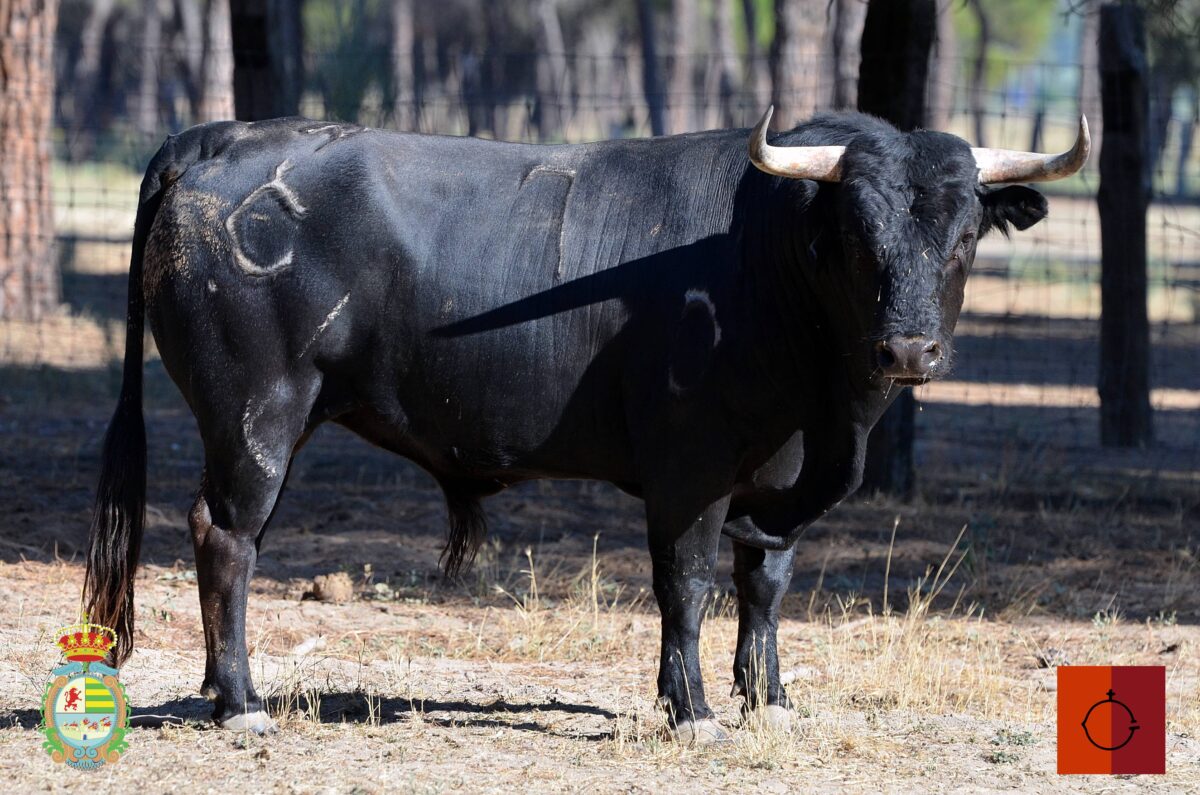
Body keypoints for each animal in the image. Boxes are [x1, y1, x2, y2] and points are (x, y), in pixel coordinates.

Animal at [84, 110, 1075, 739]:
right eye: (858, 234)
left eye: (965, 235)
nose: (908, 348)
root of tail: (227, 135)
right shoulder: (690, 470)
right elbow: (686, 586)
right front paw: (694, 711)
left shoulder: (779, 481)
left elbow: (765, 585)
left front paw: (770, 699)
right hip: (256, 415)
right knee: (225, 536)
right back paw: (243, 702)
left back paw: (225, 690)